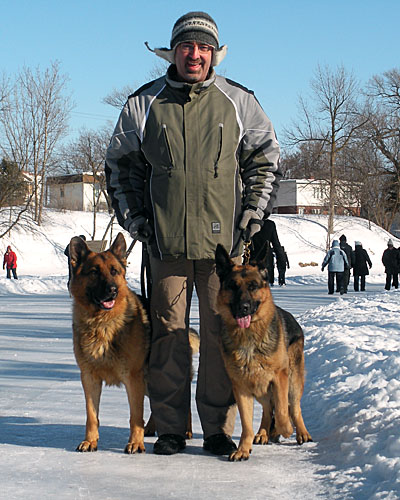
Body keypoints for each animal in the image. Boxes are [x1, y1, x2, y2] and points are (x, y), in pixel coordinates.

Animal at [69, 232, 150, 456]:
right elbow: (91, 415)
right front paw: (90, 441)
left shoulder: (134, 379)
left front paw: (136, 443)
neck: (101, 323)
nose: (112, 290)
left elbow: (135, 416)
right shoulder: (89, 378)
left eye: (114, 271)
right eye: (94, 272)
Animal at [216, 243, 312, 460]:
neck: (249, 336)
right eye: (232, 286)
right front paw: (243, 449)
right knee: (268, 409)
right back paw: (263, 433)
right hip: (259, 388)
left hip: (292, 381)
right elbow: (246, 424)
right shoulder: (241, 387)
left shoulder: (279, 377)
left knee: (294, 408)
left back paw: (301, 432)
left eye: (253, 286)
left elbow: (284, 412)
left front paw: (286, 429)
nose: (243, 308)